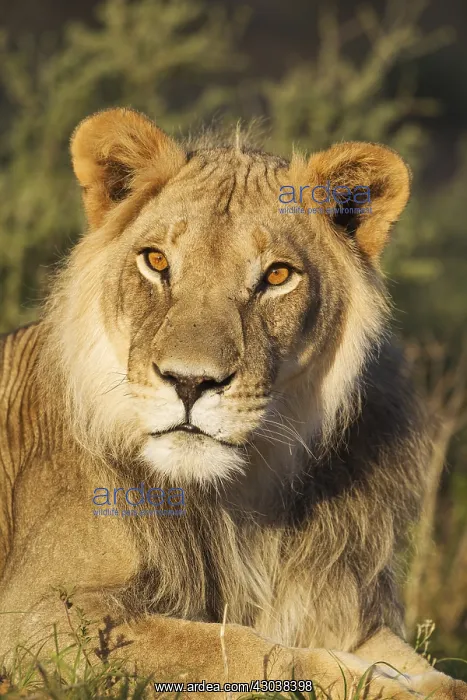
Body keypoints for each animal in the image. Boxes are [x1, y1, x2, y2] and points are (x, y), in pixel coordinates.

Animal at [0, 107, 465, 699]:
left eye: (277, 275)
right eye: (157, 261)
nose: (190, 382)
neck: (241, 497)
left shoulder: (344, 608)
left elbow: (426, 669)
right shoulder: (37, 617)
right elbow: (240, 650)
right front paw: (369, 681)